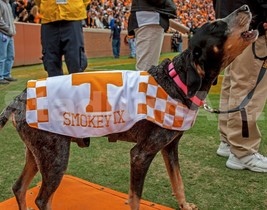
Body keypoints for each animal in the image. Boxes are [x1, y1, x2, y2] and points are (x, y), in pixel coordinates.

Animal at [0, 4, 260, 210]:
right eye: (216, 26)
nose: (246, 6)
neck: (177, 81)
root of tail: (19, 98)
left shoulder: (170, 148)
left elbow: (178, 182)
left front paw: (185, 205)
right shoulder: (140, 154)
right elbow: (136, 198)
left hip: (38, 154)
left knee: (19, 188)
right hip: (55, 157)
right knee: (42, 199)